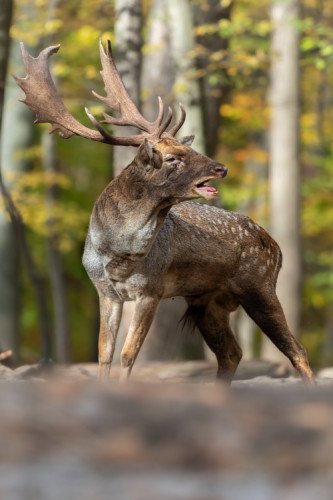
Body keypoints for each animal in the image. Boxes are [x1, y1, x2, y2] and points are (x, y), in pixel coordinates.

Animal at [13, 40, 314, 382]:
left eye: (190, 148)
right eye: (172, 158)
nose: (221, 168)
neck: (117, 253)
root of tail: (275, 245)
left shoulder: (151, 289)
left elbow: (128, 354)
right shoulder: (105, 290)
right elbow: (105, 353)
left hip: (259, 285)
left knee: (297, 350)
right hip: (206, 301)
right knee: (231, 353)